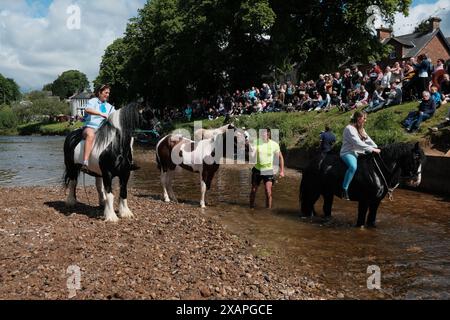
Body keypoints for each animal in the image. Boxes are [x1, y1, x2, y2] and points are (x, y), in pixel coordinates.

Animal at [298, 142, 426, 228]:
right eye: (416, 158)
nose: (417, 181)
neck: (376, 171)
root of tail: (312, 162)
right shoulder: (364, 201)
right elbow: (361, 221)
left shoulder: (376, 201)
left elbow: (372, 220)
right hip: (313, 191)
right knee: (308, 205)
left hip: (327, 192)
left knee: (326, 208)